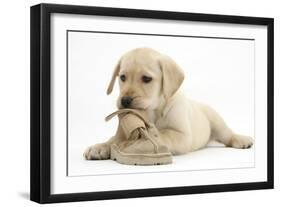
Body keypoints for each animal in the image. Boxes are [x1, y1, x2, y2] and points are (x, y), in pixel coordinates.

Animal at [83, 47, 252, 159]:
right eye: (122, 77)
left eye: (146, 79)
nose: (124, 101)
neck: (153, 111)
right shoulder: (121, 133)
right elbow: (113, 140)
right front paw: (100, 147)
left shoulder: (181, 135)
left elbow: (163, 134)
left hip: (216, 121)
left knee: (228, 134)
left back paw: (241, 140)